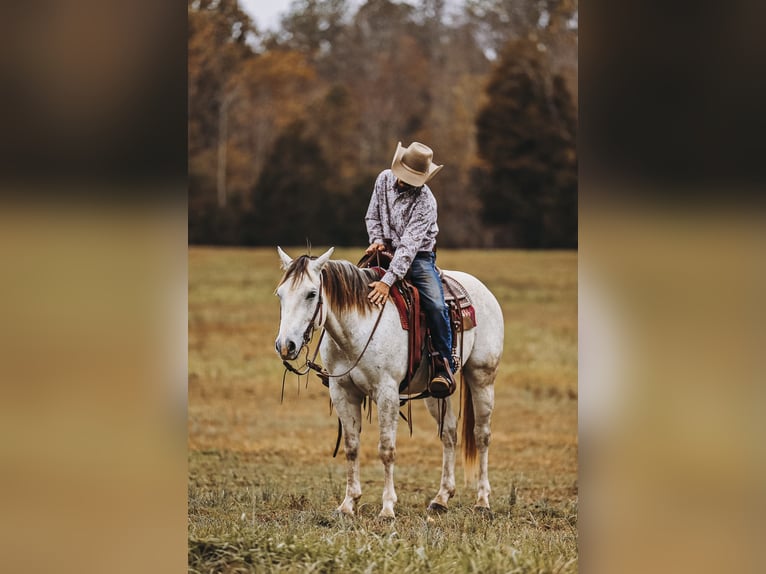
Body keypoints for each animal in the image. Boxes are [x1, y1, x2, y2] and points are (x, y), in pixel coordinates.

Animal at [274, 248, 504, 520]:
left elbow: (386, 449)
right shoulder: (342, 392)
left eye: (311, 294)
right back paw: (441, 498)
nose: (285, 345)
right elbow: (351, 447)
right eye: (280, 294)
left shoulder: (387, 393)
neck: (358, 328)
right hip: (436, 392)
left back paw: (482, 501)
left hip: (482, 376)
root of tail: (482, 288)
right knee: (449, 434)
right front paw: (348, 504)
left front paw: (387, 508)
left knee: (482, 435)